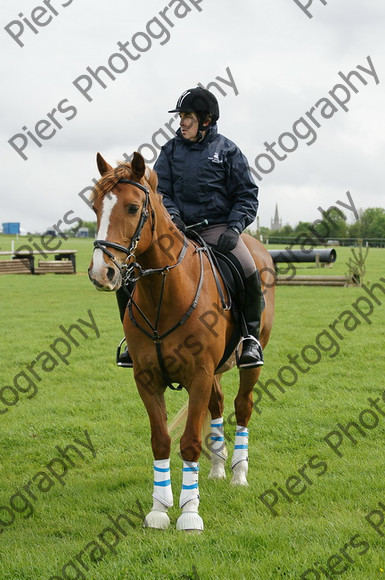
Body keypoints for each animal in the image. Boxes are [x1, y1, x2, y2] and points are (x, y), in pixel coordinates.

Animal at [88, 152, 274, 532]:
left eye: (133, 208)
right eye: (96, 207)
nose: (103, 272)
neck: (166, 292)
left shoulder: (198, 375)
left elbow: (188, 444)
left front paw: (189, 513)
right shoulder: (147, 379)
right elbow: (161, 442)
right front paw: (159, 509)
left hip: (248, 363)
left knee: (242, 406)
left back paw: (238, 475)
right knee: (217, 406)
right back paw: (217, 468)